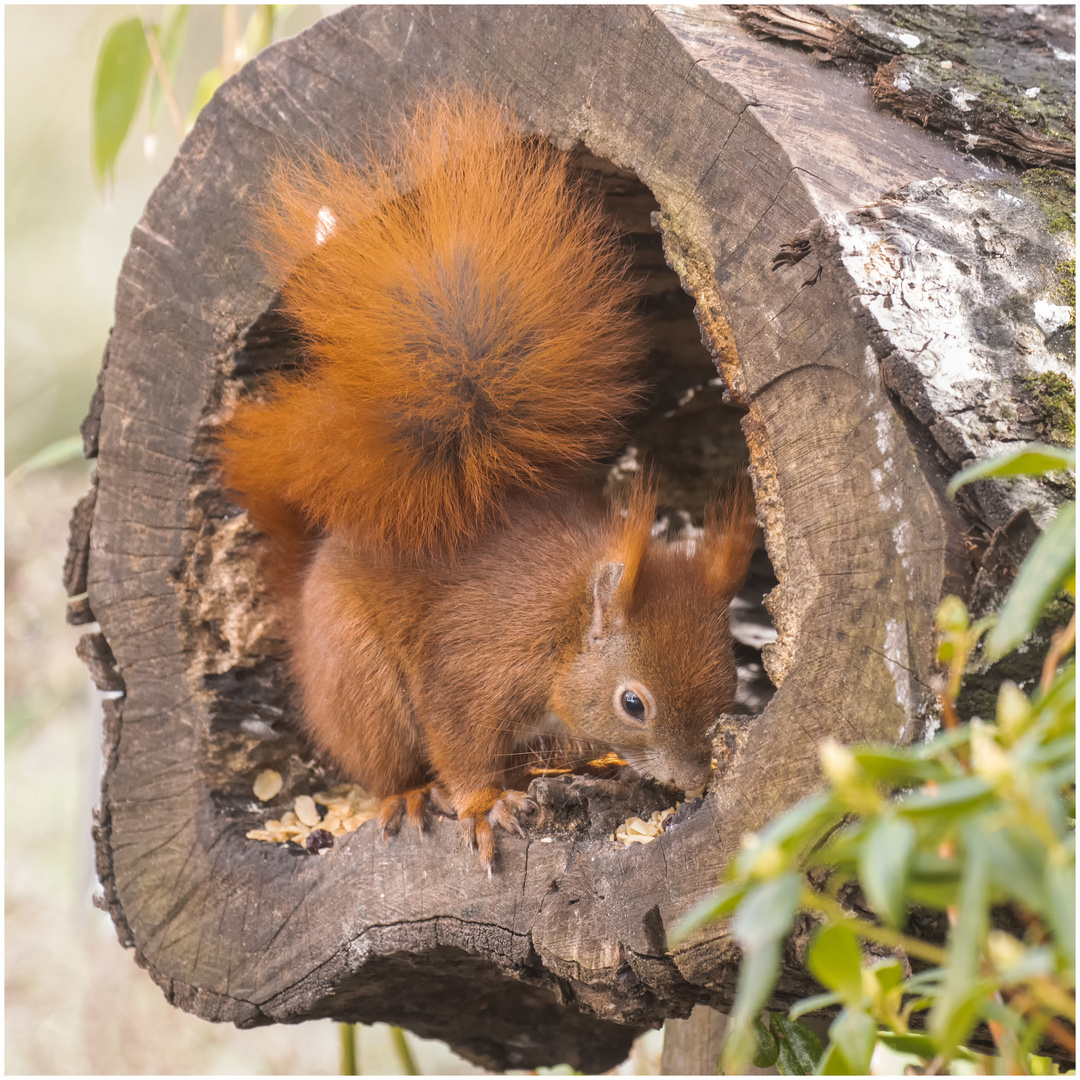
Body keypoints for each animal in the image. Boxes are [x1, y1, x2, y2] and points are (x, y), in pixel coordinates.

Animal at [217, 90, 760, 868]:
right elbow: (460, 738)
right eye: (634, 704)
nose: (693, 784)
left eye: (730, 676)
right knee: (384, 760)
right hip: (360, 678)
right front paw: (482, 806)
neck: (561, 623)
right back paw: (413, 793)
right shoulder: (473, 665)